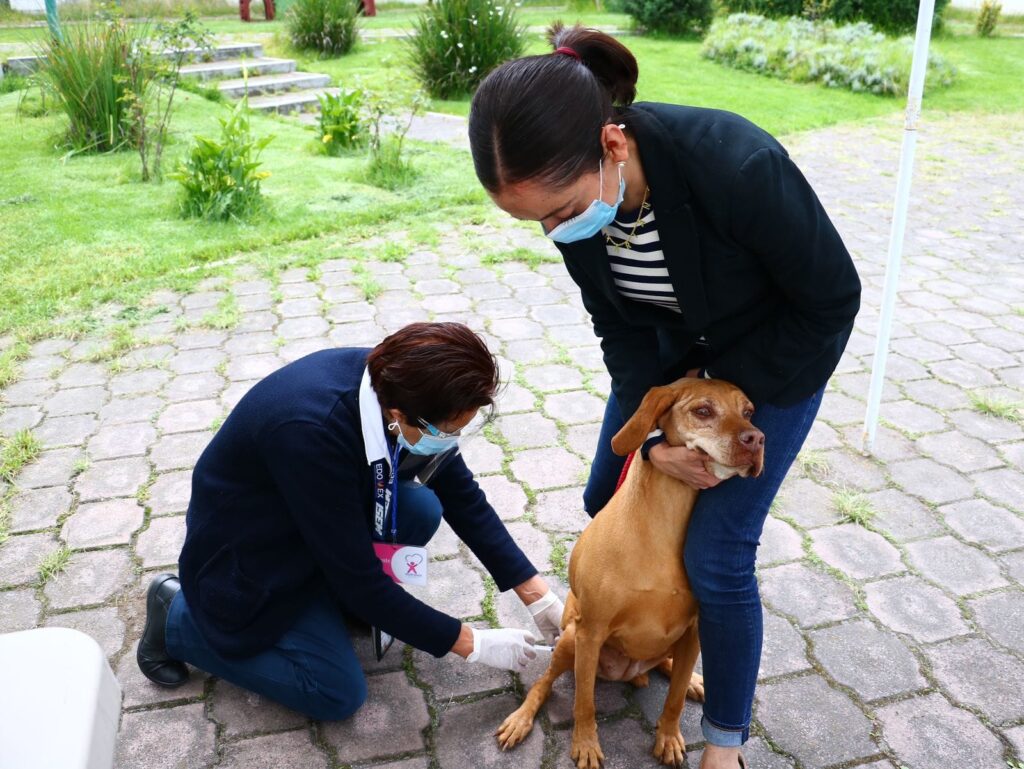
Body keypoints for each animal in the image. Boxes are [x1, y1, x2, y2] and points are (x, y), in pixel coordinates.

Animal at [491, 378, 765, 769]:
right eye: (703, 411)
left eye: (749, 412)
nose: (757, 439)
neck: (666, 524)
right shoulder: (591, 633)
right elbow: (584, 702)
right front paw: (585, 743)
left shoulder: (695, 632)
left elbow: (674, 700)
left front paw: (669, 737)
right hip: (570, 640)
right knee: (545, 682)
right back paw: (520, 719)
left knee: (669, 667)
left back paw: (693, 681)